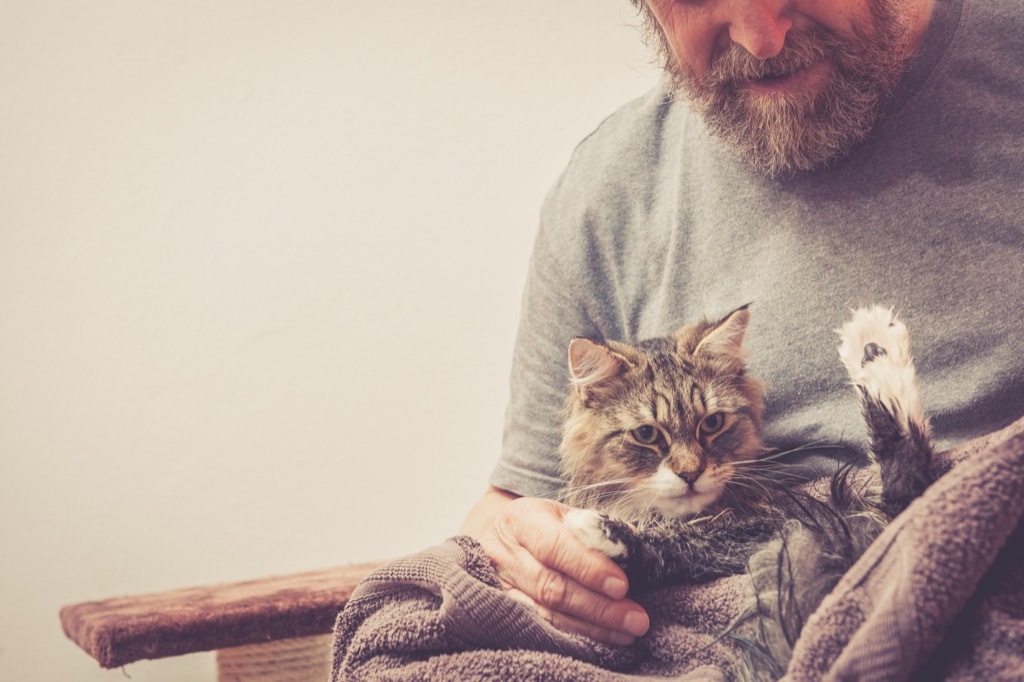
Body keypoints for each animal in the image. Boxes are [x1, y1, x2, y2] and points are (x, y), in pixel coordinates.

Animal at [561, 305, 937, 675]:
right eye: (646, 434)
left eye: (712, 423)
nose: (691, 473)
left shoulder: (761, 527)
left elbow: (684, 543)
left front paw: (604, 530)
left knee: (905, 487)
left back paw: (875, 352)